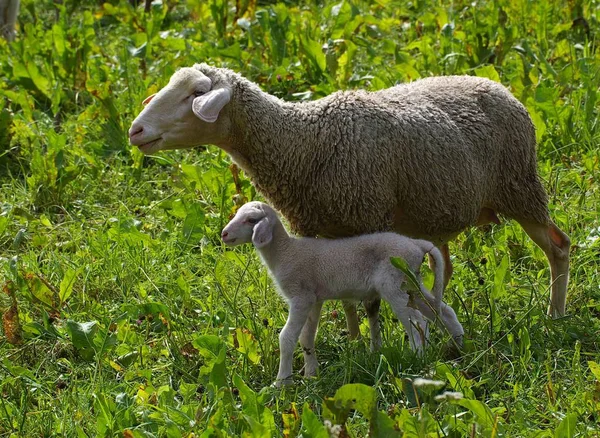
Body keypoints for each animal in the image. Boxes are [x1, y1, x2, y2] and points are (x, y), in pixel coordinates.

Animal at [130, 64, 572, 336]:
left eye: (197, 93)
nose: (135, 131)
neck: (302, 142)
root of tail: (495, 84)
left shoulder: (367, 218)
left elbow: (366, 300)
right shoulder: (318, 230)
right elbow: (341, 297)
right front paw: (354, 341)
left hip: (520, 187)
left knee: (558, 246)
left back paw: (555, 315)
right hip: (438, 210)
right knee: (443, 266)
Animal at [220, 200, 464, 384]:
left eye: (251, 220)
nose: (224, 234)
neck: (285, 251)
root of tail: (417, 244)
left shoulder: (301, 297)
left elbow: (287, 337)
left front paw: (281, 383)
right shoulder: (314, 299)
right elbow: (306, 336)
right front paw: (311, 375)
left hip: (394, 285)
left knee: (418, 323)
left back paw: (416, 359)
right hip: (411, 283)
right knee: (443, 311)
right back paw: (459, 345)